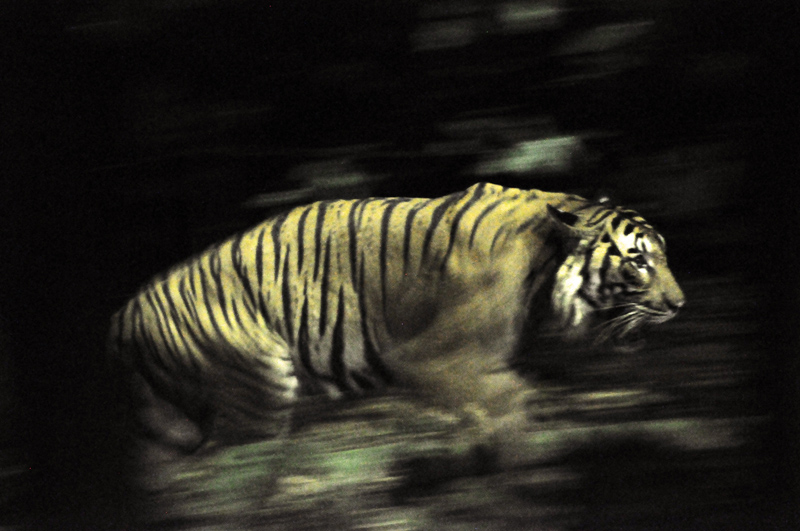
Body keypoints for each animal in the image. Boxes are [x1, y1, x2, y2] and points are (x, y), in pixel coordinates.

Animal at [108, 182, 684, 467]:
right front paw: (521, 466)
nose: (680, 304)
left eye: (662, 255)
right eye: (638, 261)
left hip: (168, 422)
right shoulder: (425, 357)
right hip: (258, 395)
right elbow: (510, 399)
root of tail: (126, 312)